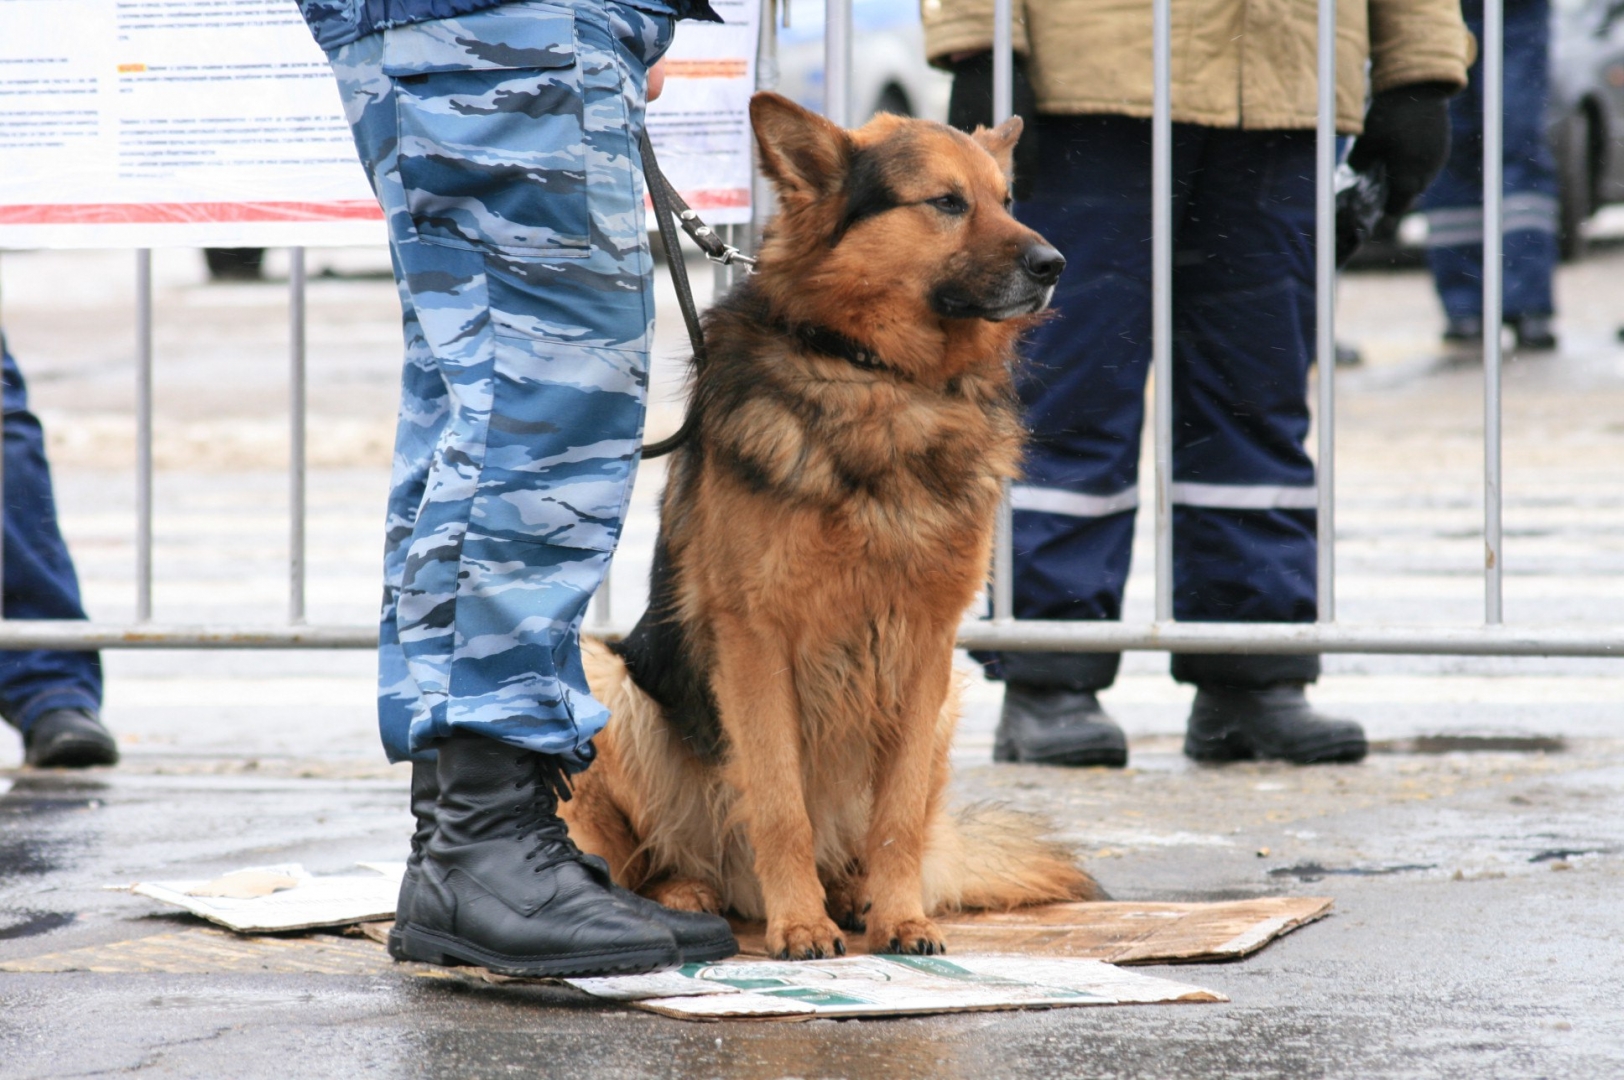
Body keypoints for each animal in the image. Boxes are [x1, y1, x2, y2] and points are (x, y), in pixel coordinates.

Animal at [561, 88, 1104, 954]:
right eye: (946, 202)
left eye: (1006, 199)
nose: (1053, 264)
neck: (881, 377)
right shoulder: (756, 639)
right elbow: (780, 800)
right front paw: (800, 925)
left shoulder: (927, 646)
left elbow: (899, 817)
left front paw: (900, 915)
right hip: (611, 682)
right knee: (657, 858)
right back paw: (690, 897)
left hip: (946, 705)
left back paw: (851, 892)